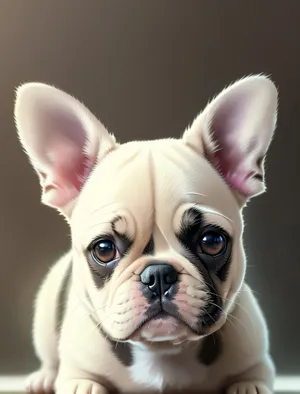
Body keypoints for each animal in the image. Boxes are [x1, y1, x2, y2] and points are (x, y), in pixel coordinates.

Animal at [14, 74, 278, 394]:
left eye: (212, 242)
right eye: (104, 249)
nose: (158, 274)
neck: (162, 350)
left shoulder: (258, 362)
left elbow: (251, 379)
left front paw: (247, 387)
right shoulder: (77, 370)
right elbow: (83, 382)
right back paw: (42, 378)